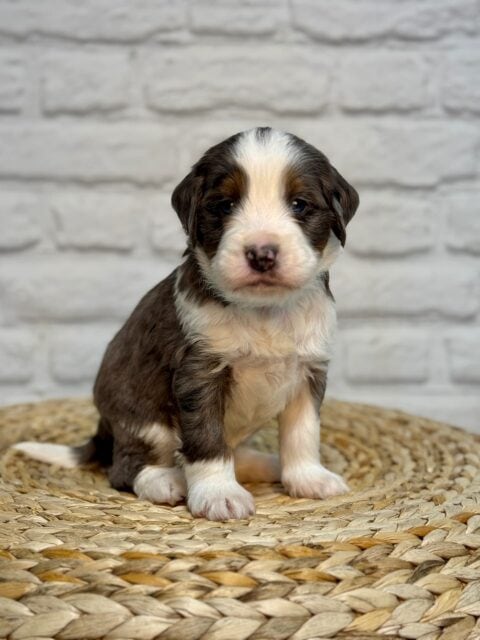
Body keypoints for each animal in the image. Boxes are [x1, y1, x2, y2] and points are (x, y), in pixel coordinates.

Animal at [15, 127, 358, 524]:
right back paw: (165, 481)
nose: (262, 254)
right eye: (225, 206)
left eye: (300, 204)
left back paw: (264, 464)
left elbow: (303, 433)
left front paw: (308, 478)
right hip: (146, 424)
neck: (262, 310)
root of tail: (104, 427)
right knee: (127, 467)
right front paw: (219, 494)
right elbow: (206, 440)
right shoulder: (199, 373)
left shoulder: (308, 371)